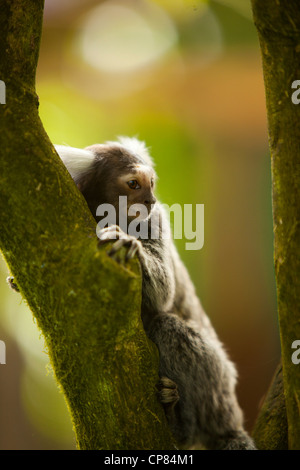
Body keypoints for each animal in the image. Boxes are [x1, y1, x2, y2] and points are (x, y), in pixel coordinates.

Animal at [8, 138, 255, 450]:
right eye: (134, 184)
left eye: (151, 184)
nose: (150, 201)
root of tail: (229, 416)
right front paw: (15, 282)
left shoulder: (155, 221)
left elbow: (164, 292)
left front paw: (125, 243)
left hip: (217, 386)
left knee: (169, 329)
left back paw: (178, 424)